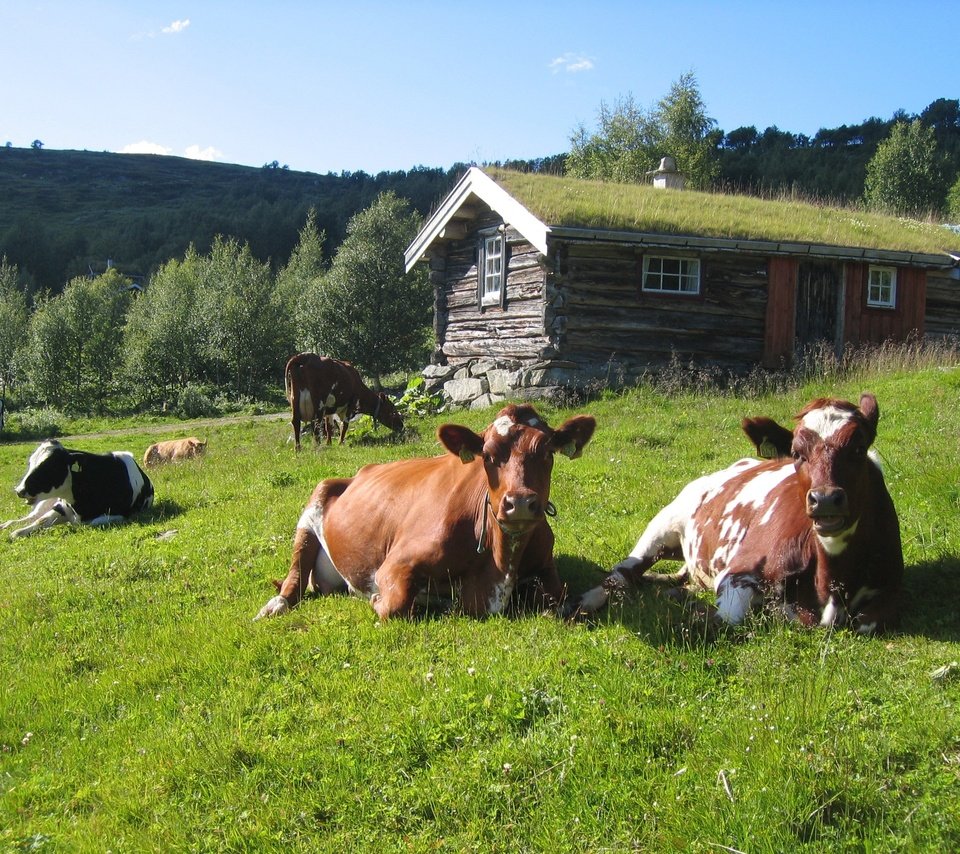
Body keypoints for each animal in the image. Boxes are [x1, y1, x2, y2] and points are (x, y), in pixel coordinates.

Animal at [1, 444, 154, 540]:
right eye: (31, 462)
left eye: (49, 467)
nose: (19, 490)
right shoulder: (60, 506)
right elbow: (40, 521)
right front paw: (17, 533)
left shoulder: (121, 515)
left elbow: (89, 523)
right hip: (44, 502)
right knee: (31, 517)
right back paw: (6, 525)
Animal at [255, 404, 600, 620]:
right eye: (487, 456)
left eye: (547, 452)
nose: (520, 503)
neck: (499, 568)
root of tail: (361, 471)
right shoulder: (395, 566)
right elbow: (393, 605)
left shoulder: (546, 566)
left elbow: (561, 600)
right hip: (315, 500)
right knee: (296, 574)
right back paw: (276, 604)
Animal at [572, 394, 904, 636]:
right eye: (797, 454)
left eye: (859, 448)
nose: (824, 500)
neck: (831, 582)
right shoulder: (739, 572)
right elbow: (726, 619)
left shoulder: (891, 588)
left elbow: (866, 621)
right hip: (663, 524)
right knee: (621, 573)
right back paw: (586, 601)